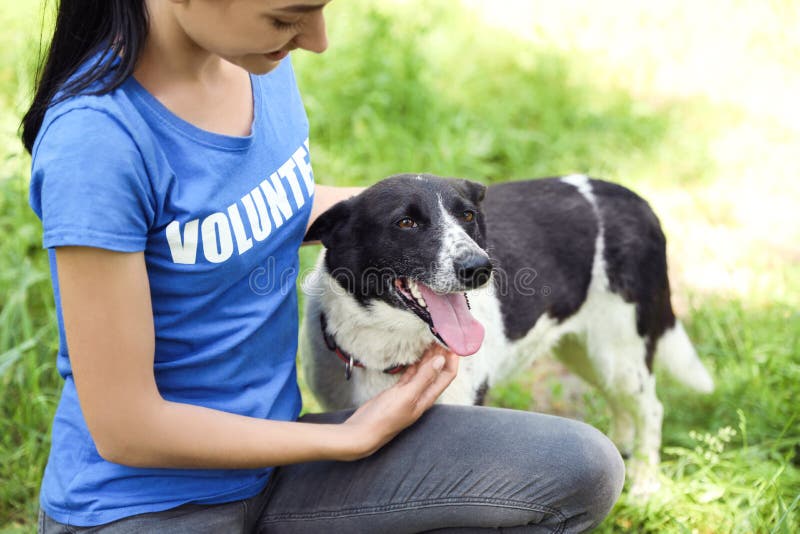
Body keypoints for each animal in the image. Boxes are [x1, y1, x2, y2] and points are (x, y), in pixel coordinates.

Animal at [298, 175, 712, 494]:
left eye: (467, 215)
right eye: (405, 223)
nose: (479, 268)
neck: (387, 346)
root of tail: (636, 200)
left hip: (620, 349)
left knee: (651, 409)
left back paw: (644, 482)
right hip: (584, 350)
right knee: (620, 403)